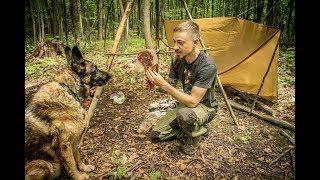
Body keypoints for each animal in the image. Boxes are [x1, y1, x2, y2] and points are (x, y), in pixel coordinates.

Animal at [24, 45, 111, 179]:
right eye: (95, 69)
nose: (110, 75)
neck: (70, 92)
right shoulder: (64, 145)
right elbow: (71, 164)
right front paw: (79, 176)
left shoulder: (75, 140)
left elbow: (77, 156)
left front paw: (83, 167)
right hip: (44, 164)